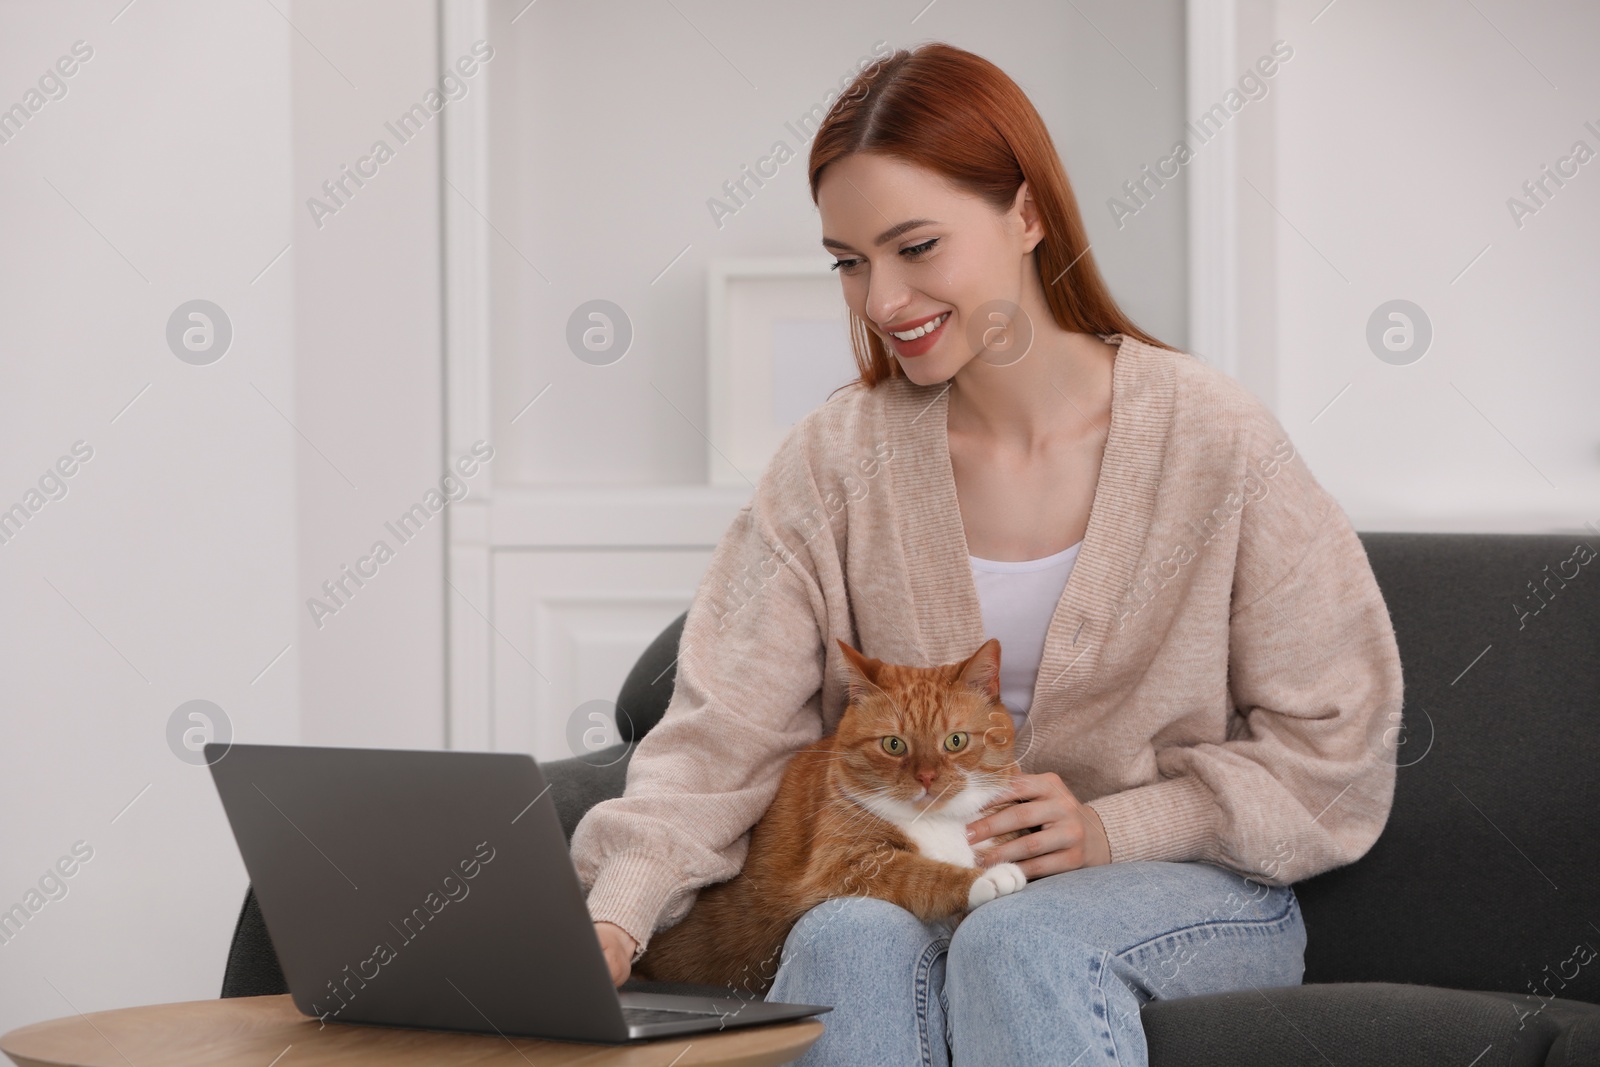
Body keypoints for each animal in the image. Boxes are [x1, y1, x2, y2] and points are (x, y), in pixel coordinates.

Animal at [633, 633, 1024, 991]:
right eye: (893, 745)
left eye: (956, 741)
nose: (927, 777)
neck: (936, 820)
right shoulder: (840, 869)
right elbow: (922, 875)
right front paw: (985, 878)